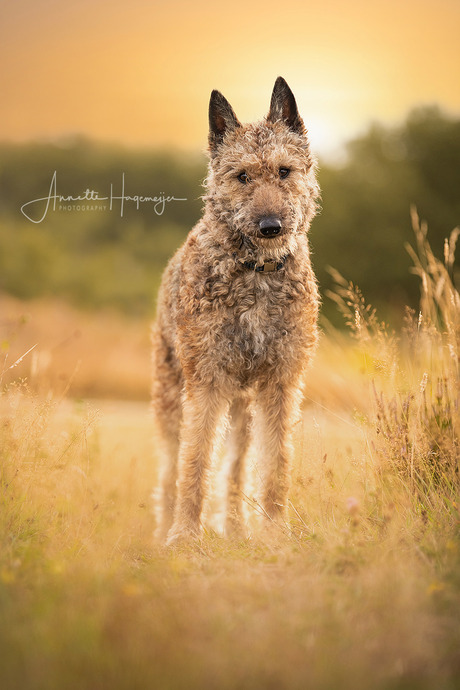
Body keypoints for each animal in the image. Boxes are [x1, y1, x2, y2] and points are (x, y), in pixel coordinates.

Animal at [151, 76, 320, 544]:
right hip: (171, 396)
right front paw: (185, 537)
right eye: (242, 176)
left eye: (284, 171)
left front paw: (275, 533)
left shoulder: (280, 382)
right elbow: (193, 464)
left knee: (237, 467)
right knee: (169, 469)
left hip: (243, 407)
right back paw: (164, 531)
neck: (256, 274)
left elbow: (275, 465)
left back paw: (237, 528)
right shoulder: (207, 381)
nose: (270, 226)